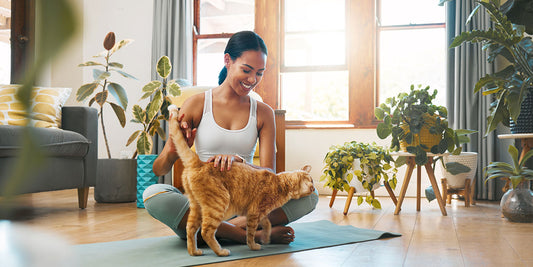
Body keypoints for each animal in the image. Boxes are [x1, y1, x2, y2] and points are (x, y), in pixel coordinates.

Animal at [168, 105, 314, 258]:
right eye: (311, 180)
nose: (313, 188)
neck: (281, 184)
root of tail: (199, 163)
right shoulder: (254, 212)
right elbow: (251, 233)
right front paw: (254, 245)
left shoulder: (260, 213)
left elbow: (267, 223)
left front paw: (266, 237)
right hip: (219, 203)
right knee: (206, 231)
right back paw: (221, 251)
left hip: (196, 207)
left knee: (190, 228)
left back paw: (194, 251)